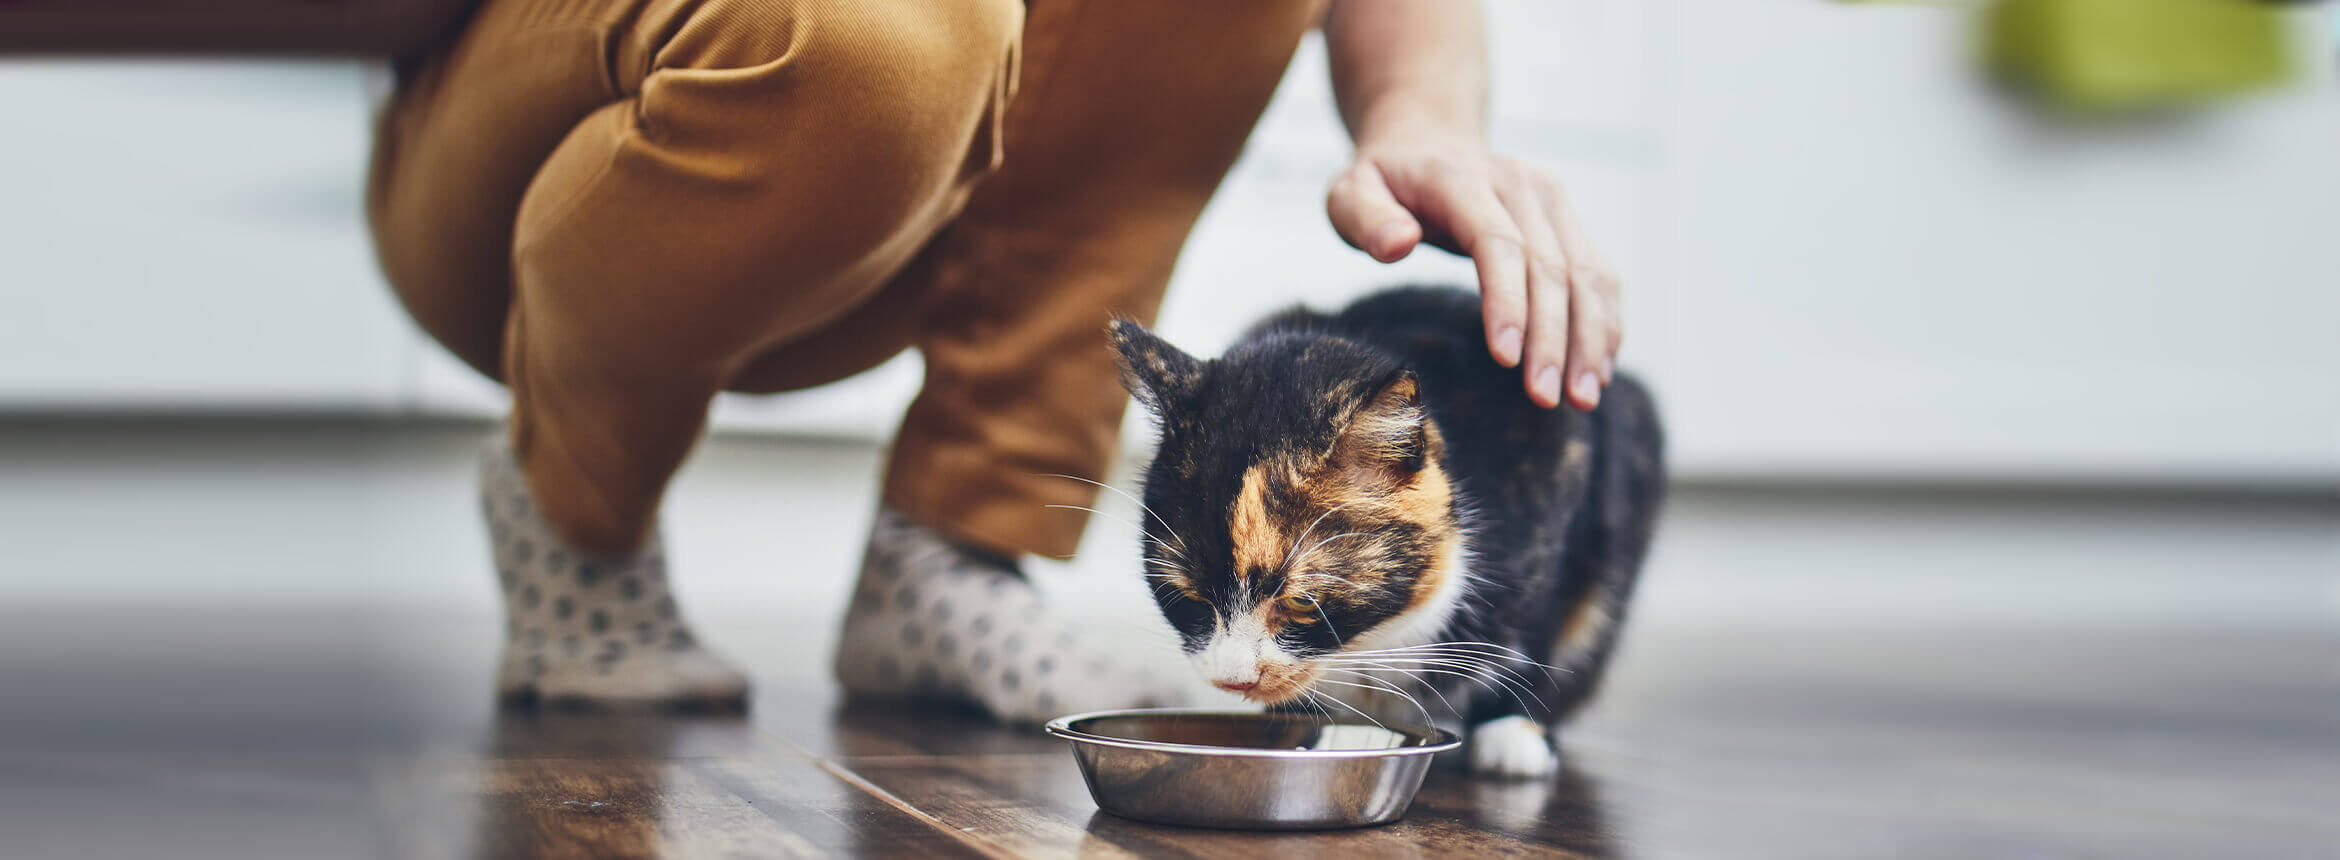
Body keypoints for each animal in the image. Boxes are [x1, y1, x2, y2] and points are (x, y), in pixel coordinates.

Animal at [1109, 285, 1666, 775]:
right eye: (1187, 596)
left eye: (1302, 603)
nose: (1233, 679)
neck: (1371, 644)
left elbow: (1536, 624)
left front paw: (1514, 731)